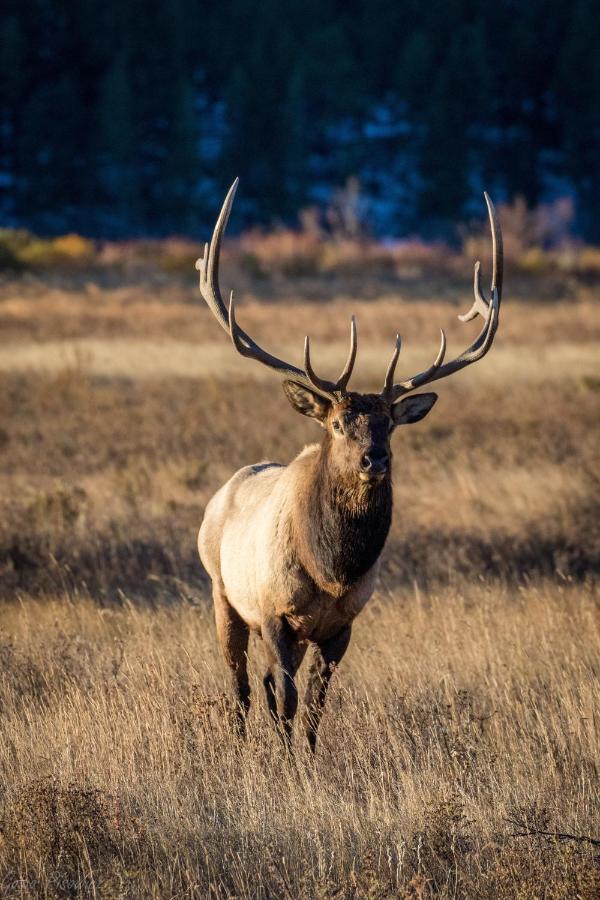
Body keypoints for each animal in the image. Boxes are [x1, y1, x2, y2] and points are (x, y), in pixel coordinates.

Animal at [197, 179, 502, 748]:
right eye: (338, 423)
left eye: (390, 424)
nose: (373, 458)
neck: (332, 570)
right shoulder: (274, 611)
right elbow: (287, 698)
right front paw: (285, 761)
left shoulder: (342, 624)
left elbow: (314, 704)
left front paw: (307, 756)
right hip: (223, 594)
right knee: (242, 686)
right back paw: (241, 742)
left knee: (263, 685)